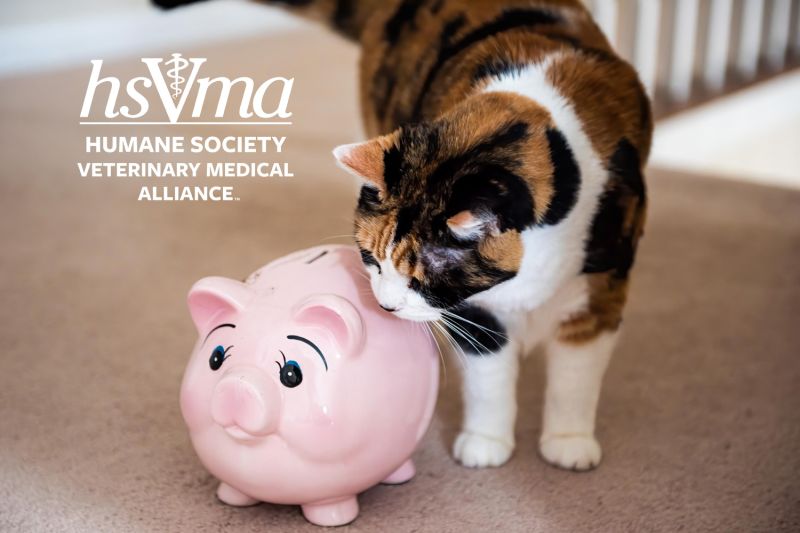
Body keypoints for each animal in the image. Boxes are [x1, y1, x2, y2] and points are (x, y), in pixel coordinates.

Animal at [156, 0, 648, 470]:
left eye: (424, 278)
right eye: (370, 259)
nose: (386, 306)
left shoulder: (601, 287)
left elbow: (575, 377)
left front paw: (569, 443)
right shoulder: (477, 314)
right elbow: (488, 378)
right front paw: (486, 443)